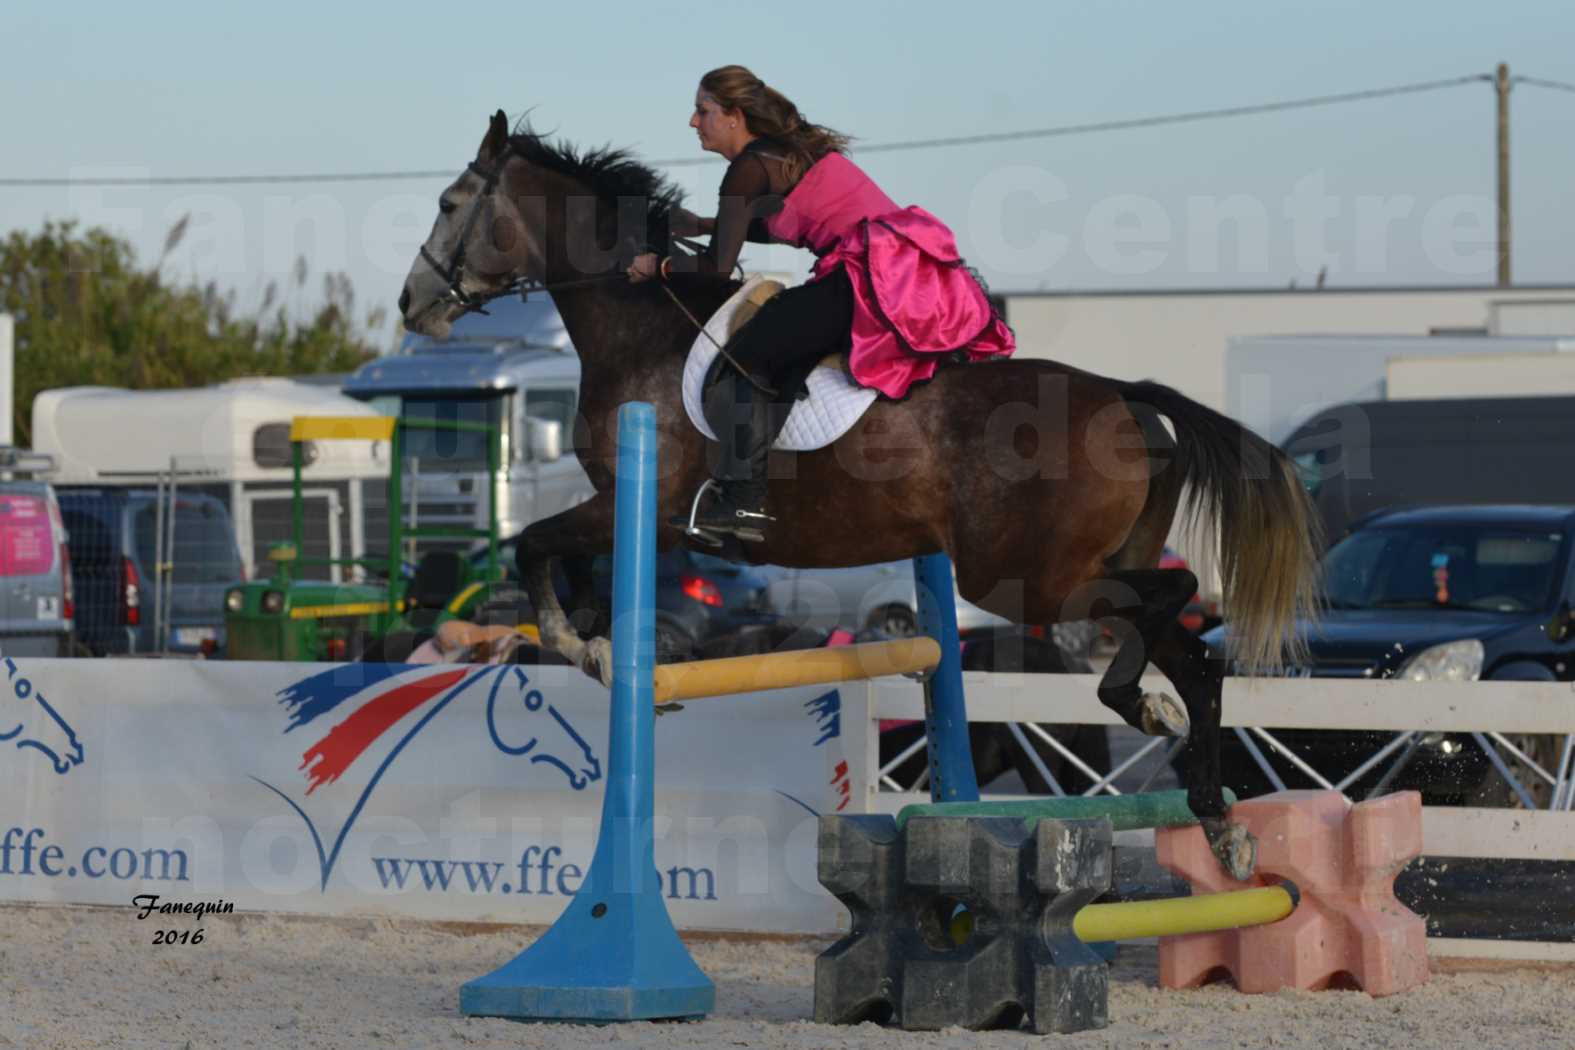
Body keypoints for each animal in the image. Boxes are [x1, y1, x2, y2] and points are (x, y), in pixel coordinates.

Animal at [400, 108, 1323, 881]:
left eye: (449, 204)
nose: (413, 304)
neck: (638, 327)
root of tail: (1126, 396)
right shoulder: (625, 517)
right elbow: (563, 561)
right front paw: (596, 642)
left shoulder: (645, 510)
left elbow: (535, 546)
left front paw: (581, 646)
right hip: (1069, 565)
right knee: (1191, 653)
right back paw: (1206, 802)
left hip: (1021, 577)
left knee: (1176, 593)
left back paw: (1154, 728)